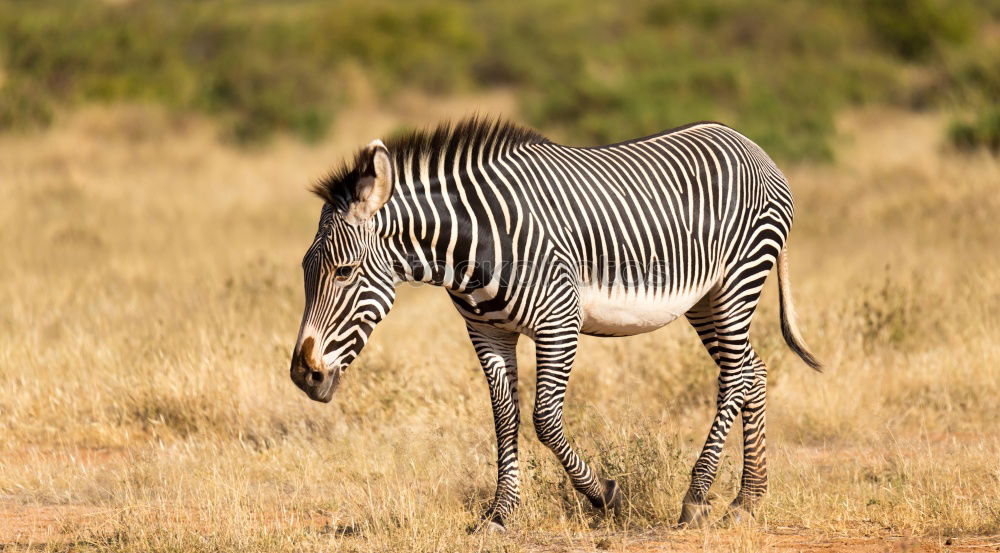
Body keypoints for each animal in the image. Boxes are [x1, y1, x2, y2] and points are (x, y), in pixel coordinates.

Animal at [290, 117, 820, 532]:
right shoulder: (487, 331)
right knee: (753, 371)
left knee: (735, 377)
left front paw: (603, 494)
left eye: (344, 272)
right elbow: (504, 419)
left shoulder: (559, 320)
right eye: (305, 270)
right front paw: (499, 514)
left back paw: (696, 497)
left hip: (737, 279)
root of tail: (752, 145)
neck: (474, 246)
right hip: (705, 298)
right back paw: (747, 501)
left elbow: (544, 419)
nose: (303, 375)